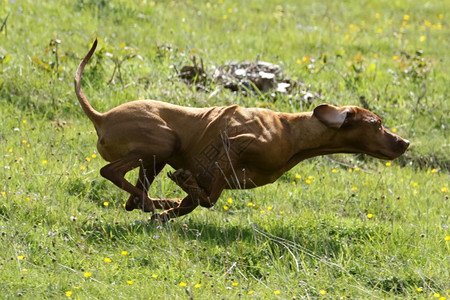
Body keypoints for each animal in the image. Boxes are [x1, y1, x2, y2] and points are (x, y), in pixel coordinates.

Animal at [75, 39, 410, 221]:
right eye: (377, 123)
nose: (405, 143)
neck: (292, 132)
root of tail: (101, 116)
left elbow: (196, 201)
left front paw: (170, 210)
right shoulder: (233, 143)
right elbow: (207, 198)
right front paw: (182, 187)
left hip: (155, 158)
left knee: (134, 200)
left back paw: (156, 203)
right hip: (164, 142)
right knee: (111, 172)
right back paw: (158, 199)